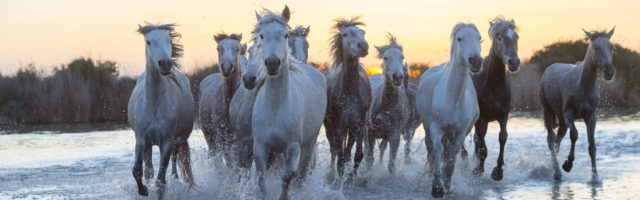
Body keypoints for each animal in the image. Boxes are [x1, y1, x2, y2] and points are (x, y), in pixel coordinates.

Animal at [127, 23, 192, 197]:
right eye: (148, 42)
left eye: (169, 40)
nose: (165, 63)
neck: (155, 104)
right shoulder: (141, 139)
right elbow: (137, 170)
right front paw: (143, 190)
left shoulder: (167, 141)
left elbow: (161, 181)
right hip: (149, 144)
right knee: (148, 169)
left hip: (179, 139)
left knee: (174, 160)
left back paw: (176, 177)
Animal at [250, 5, 328, 199]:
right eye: (261, 36)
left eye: (285, 35)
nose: (272, 63)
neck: (275, 107)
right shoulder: (260, 146)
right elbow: (261, 179)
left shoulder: (292, 147)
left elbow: (287, 177)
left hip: (309, 143)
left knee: (301, 174)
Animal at [324, 16, 370, 181]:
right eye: (345, 34)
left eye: (363, 32)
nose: (363, 46)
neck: (350, 91)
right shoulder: (339, 126)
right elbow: (340, 157)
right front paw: (340, 178)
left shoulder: (359, 124)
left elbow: (358, 155)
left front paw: (351, 177)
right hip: (329, 126)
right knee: (334, 150)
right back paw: (331, 174)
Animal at [416, 22, 480, 198]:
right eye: (459, 38)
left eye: (479, 38)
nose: (476, 61)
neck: (454, 97)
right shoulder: (436, 128)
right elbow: (438, 151)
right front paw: (437, 188)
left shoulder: (460, 133)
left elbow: (451, 158)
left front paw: (446, 184)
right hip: (427, 129)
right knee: (431, 151)